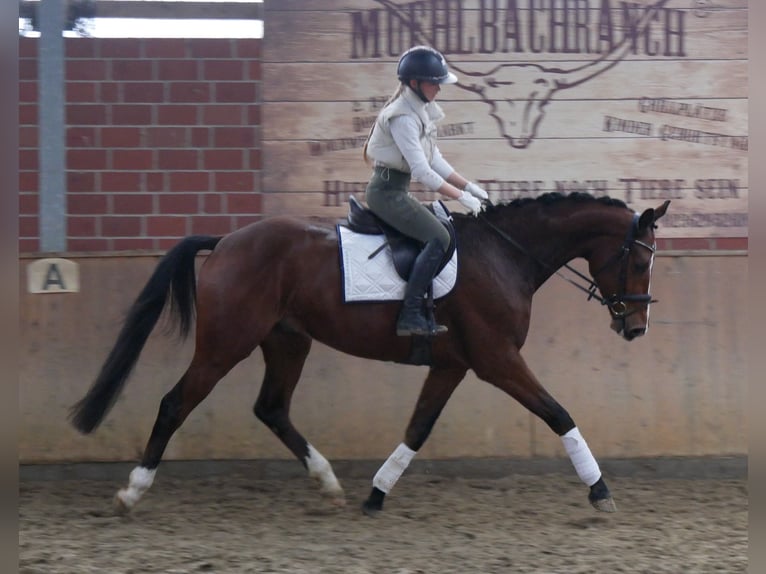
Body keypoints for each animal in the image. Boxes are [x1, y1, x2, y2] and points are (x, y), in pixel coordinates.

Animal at [70, 192, 672, 516]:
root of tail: (225, 243)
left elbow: (418, 429)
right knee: (176, 404)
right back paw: (132, 493)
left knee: (272, 408)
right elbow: (558, 414)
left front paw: (376, 495)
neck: (506, 254)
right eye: (641, 261)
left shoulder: (453, 364)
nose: (636, 328)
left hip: (288, 340)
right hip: (226, 344)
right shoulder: (497, 360)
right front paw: (600, 491)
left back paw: (329, 483)